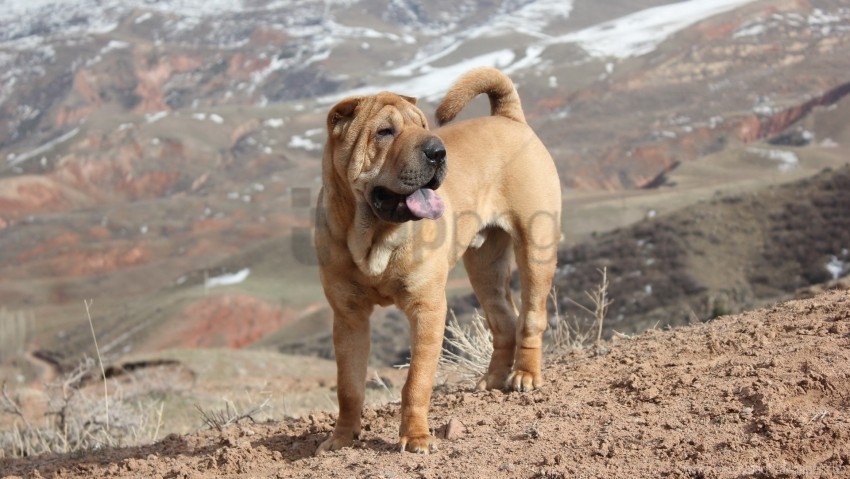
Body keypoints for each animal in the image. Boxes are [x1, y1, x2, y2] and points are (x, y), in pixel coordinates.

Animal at [314, 66, 560, 454]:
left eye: (423, 126)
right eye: (385, 132)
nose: (437, 151)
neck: (373, 236)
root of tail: (509, 118)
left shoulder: (426, 307)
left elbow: (416, 380)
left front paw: (415, 438)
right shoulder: (349, 317)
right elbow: (348, 387)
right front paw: (340, 439)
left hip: (536, 250)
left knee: (532, 316)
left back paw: (525, 375)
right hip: (484, 267)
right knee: (504, 320)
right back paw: (492, 380)